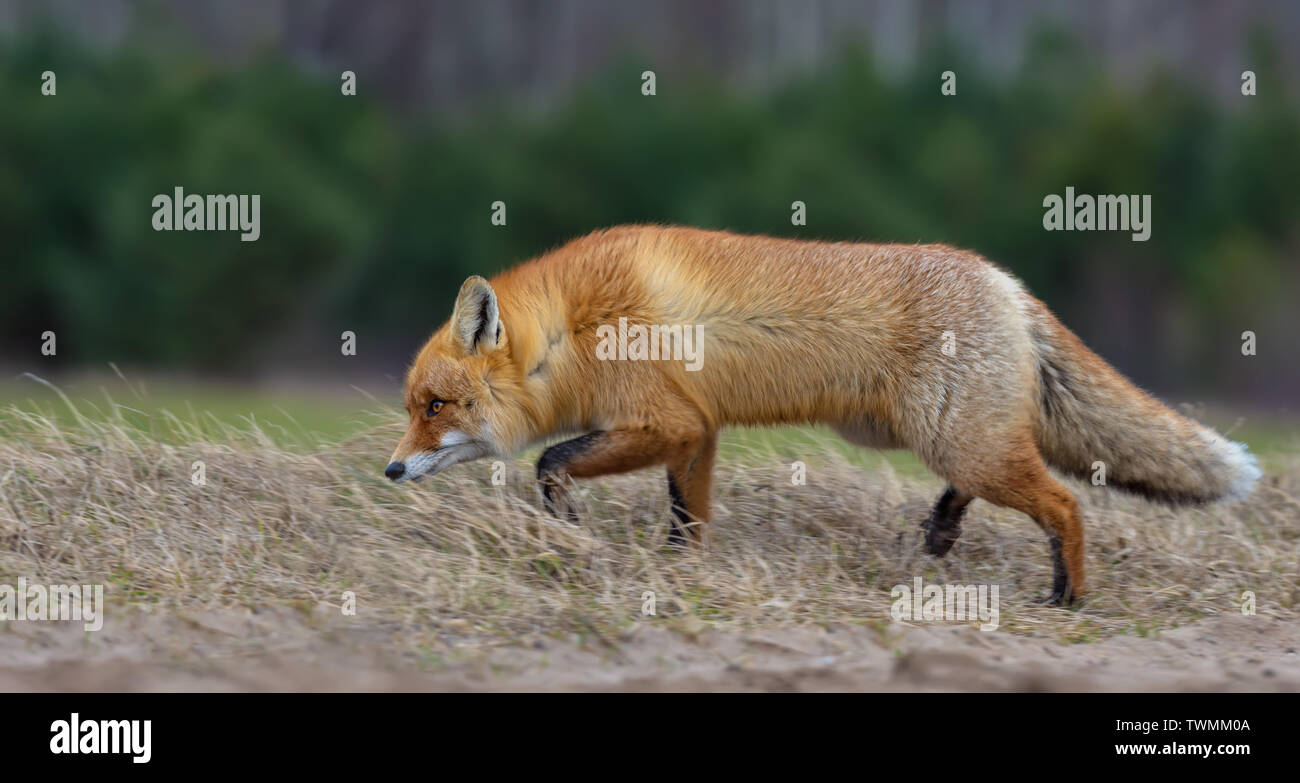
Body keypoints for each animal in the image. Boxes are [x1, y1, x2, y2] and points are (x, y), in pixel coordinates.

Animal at [384, 225, 1258, 603]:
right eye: (412, 408)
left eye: (436, 406)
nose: (390, 468)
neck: (572, 328)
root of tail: (1005, 281)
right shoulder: (699, 431)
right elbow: (687, 516)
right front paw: (677, 571)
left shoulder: (666, 421)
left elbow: (549, 460)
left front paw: (568, 523)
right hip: (940, 435)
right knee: (995, 483)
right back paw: (942, 530)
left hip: (956, 438)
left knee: (1066, 502)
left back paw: (1068, 595)